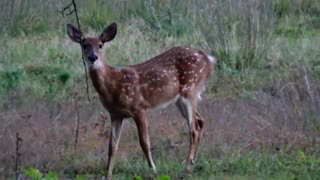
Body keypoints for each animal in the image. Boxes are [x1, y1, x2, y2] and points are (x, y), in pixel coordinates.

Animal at [66, 22, 216, 179]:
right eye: (84, 45)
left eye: (100, 45)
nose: (93, 57)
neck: (112, 86)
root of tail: (209, 59)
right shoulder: (115, 115)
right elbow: (112, 146)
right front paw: (108, 175)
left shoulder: (138, 107)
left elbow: (144, 142)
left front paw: (154, 170)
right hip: (180, 99)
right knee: (200, 121)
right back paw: (192, 163)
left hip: (190, 90)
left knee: (193, 128)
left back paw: (186, 167)